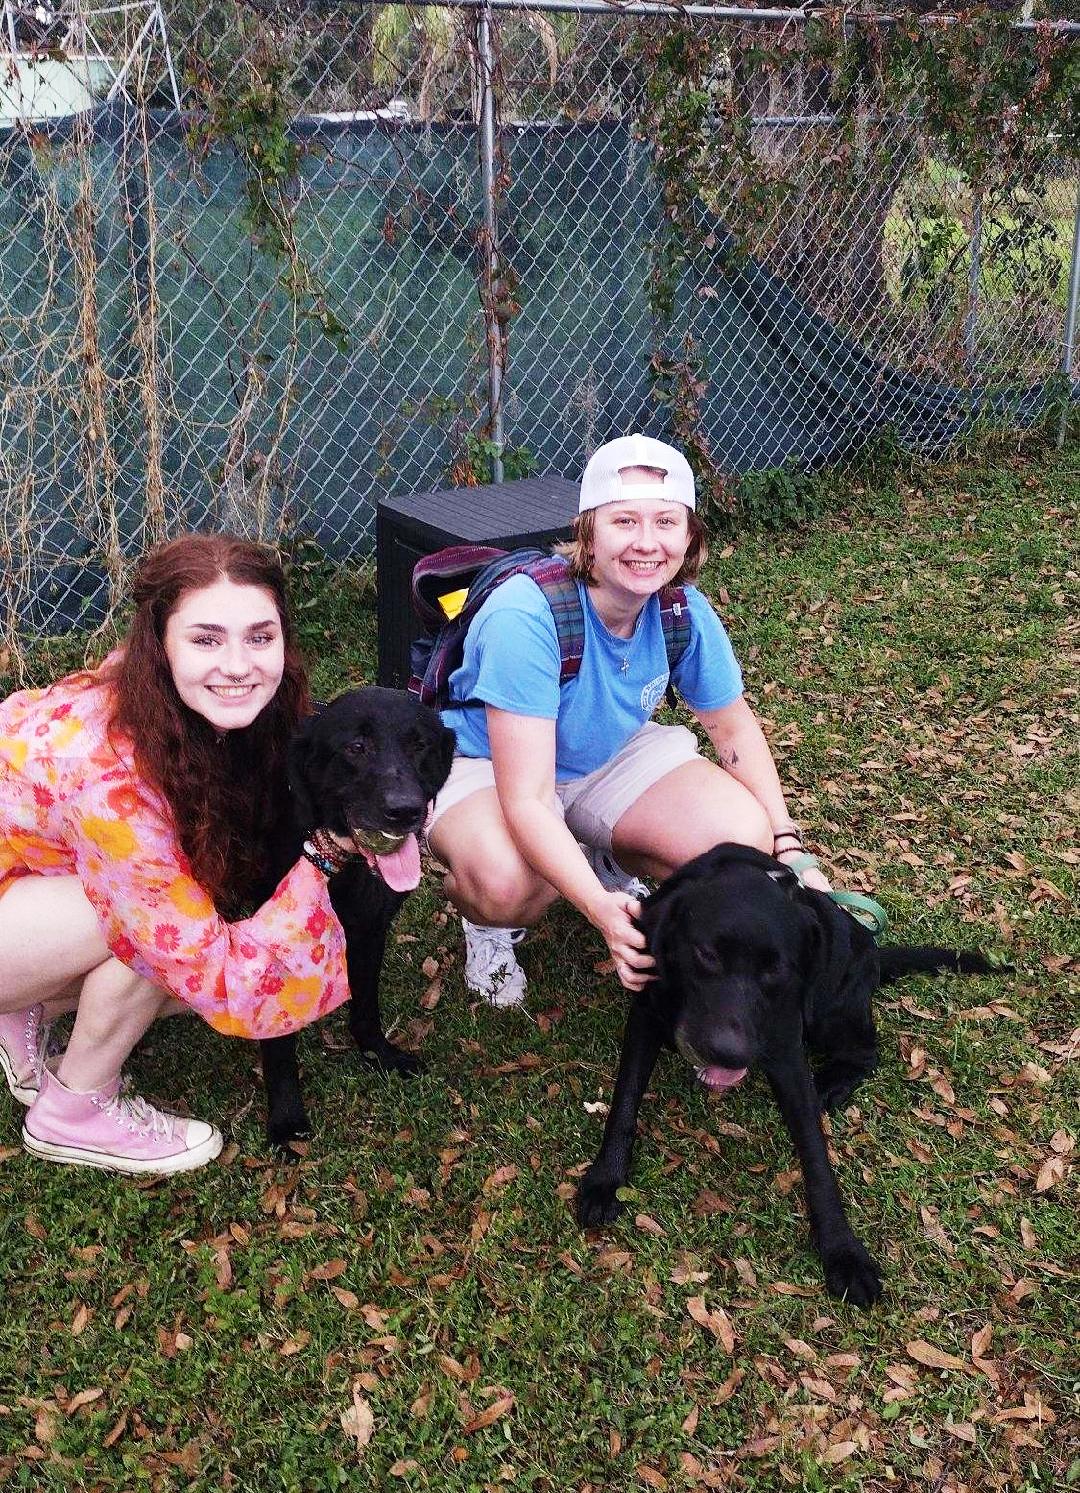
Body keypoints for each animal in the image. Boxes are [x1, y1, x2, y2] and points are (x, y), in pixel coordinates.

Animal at [261, 683, 457, 1140]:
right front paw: (286, 1117)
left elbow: (367, 1004)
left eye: (419, 744)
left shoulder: (371, 929)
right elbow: (278, 1039)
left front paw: (378, 1054)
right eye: (356, 747)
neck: (345, 871)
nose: (405, 811)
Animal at [579, 848, 1009, 1313]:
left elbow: (817, 1160)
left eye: (775, 970)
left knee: (865, 1052)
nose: (729, 1053)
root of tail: (875, 953)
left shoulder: (786, 1051)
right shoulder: (646, 1011)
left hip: (831, 1010)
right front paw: (606, 1178)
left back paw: (835, 1082)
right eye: (706, 954)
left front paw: (843, 1252)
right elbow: (624, 1101)